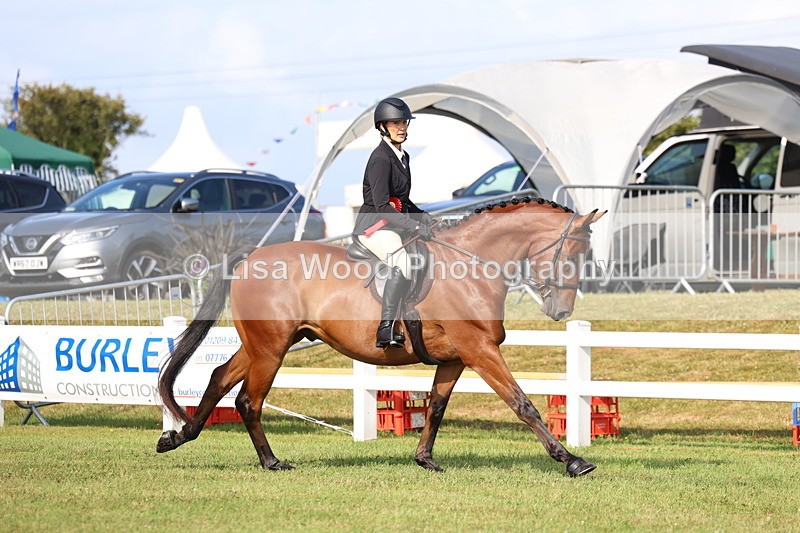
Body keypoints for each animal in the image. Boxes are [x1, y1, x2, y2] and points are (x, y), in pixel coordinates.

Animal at [157, 196, 605, 477]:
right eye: (572, 254)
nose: (561, 312)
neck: (471, 265)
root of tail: (249, 257)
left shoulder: (455, 357)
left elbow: (436, 408)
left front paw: (425, 460)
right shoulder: (480, 350)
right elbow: (522, 404)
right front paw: (571, 460)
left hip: (265, 345)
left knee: (218, 378)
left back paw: (177, 436)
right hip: (271, 348)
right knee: (249, 400)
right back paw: (271, 462)